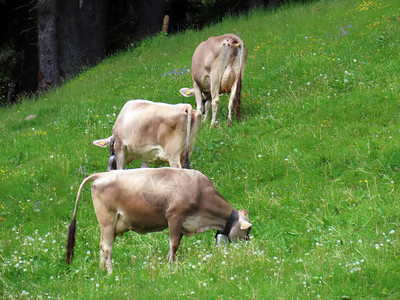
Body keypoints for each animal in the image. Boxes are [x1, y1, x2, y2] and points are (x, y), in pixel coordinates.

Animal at [65, 168, 253, 276]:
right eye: (248, 231)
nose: (247, 247)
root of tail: (102, 175)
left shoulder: (182, 223)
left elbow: (174, 244)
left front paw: (168, 261)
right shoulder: (174, 215)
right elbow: (174, 243)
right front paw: (171, 266)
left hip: (109, 225)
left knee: (101, 245)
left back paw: (102, 270)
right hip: (107, 219)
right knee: (106, 247)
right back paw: (111, 273)